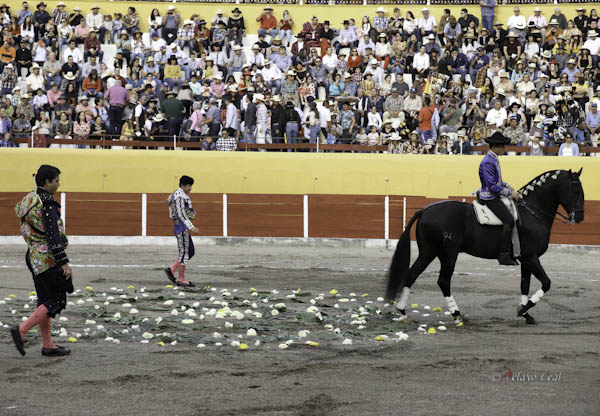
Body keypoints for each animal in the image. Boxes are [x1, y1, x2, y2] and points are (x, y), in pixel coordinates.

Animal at [384, 169, 584, 324]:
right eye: (576, 190)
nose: (581, 217)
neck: (532, 212)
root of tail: (424, 210)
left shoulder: (526, 260)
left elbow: (524, 285)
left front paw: (525, 313)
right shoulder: (531, 257)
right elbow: (546, 282)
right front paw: (523, 310)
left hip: (428, 252)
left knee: (411, 275)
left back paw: (402, 311)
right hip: (449, 254)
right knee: (443, 281)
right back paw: (457, 315)